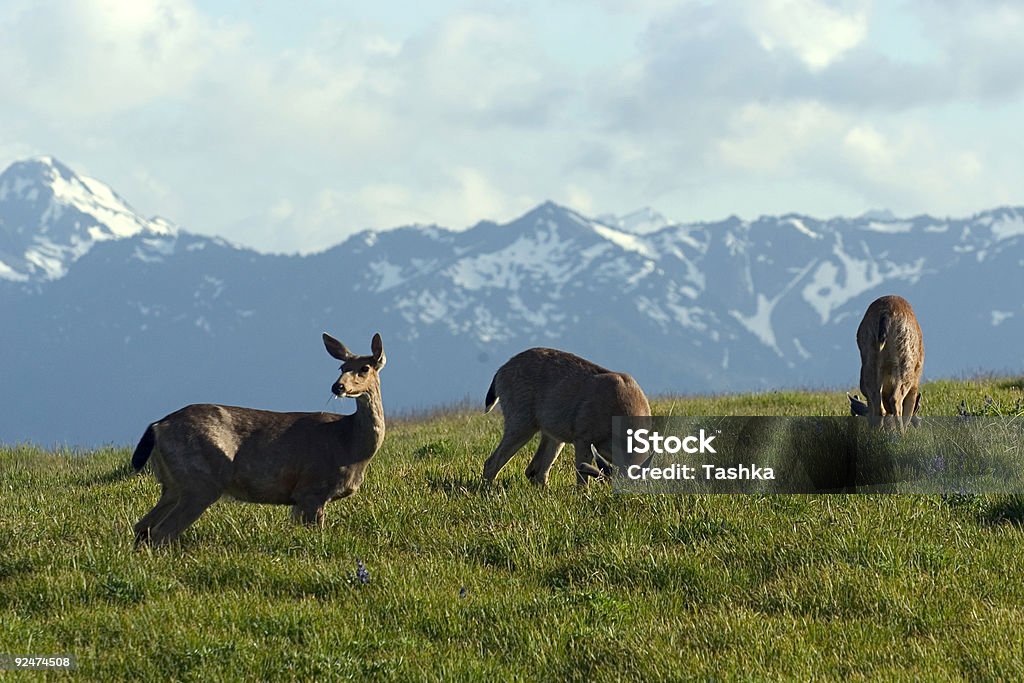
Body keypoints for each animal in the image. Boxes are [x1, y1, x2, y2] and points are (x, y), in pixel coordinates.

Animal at [128, 333, 385, 548]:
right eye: (342, 366)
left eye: (364, 367)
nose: (337, 386)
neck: (349, 443)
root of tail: (158, 426)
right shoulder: (312, 489)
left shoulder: (298, 499)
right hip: (199, 481)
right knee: (162, 532)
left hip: (173, 484)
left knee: (142, 526)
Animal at [479, 348, 647, 485]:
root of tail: (500, 371)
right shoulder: (583, 438)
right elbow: (582, 482)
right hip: (521, 421)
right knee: (492, 463)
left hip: (553, 433)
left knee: (536, 471)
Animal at [843, 296, 925, 430]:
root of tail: (885, 314)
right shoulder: (915, 384)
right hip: (906, 364)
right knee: (896, 400)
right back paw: (901, 433)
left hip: (869, 359)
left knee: (878, 405)